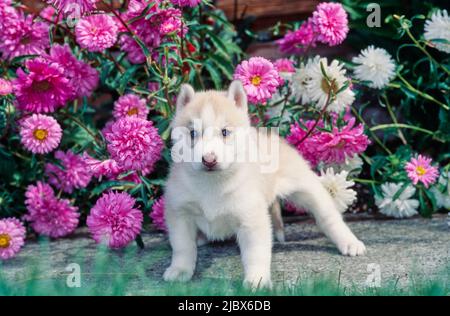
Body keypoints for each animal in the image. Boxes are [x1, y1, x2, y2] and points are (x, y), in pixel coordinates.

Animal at [163, 80, 366, 288]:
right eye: (192, 133)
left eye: (225, 132)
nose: (209, 160)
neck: (212, 183)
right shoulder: (179, 213)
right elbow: (183, 247)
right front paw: (180, 269)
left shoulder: (252, 219)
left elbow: (256, 252)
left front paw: (257, 279)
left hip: (307, 188)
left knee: (328, 216)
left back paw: (349, 242)